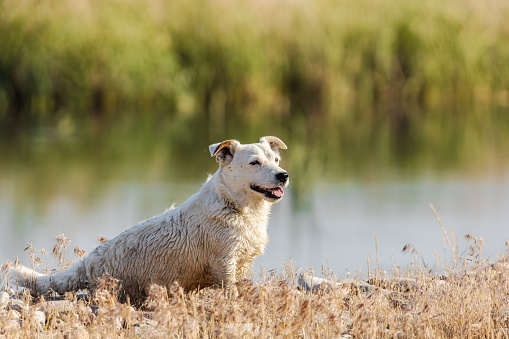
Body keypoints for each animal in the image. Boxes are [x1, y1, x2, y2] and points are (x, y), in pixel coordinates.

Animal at [5, 137, 288, 306]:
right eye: (254, 163)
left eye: (276, 160)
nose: (283, 175)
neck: (238, 207)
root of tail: (87, 263)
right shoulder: (225, 263)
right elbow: (231, 291)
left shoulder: (242, 263)